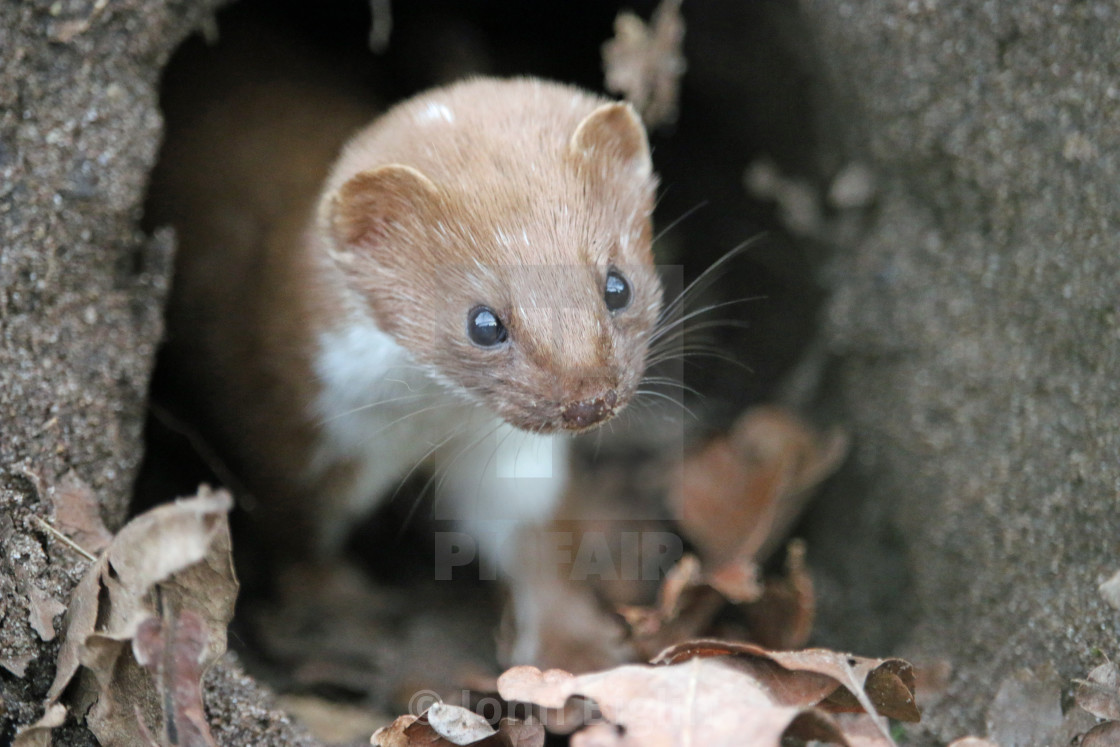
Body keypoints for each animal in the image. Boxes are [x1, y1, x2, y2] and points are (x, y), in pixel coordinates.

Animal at [145, 68, 658, 658]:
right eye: (483, 322)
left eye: (617, 285)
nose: (587, 400)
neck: (425, 425)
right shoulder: (292, 436)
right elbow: (296, 534)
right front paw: (338, 600)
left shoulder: (502, 453)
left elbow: (532, 529)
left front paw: (573, 646)